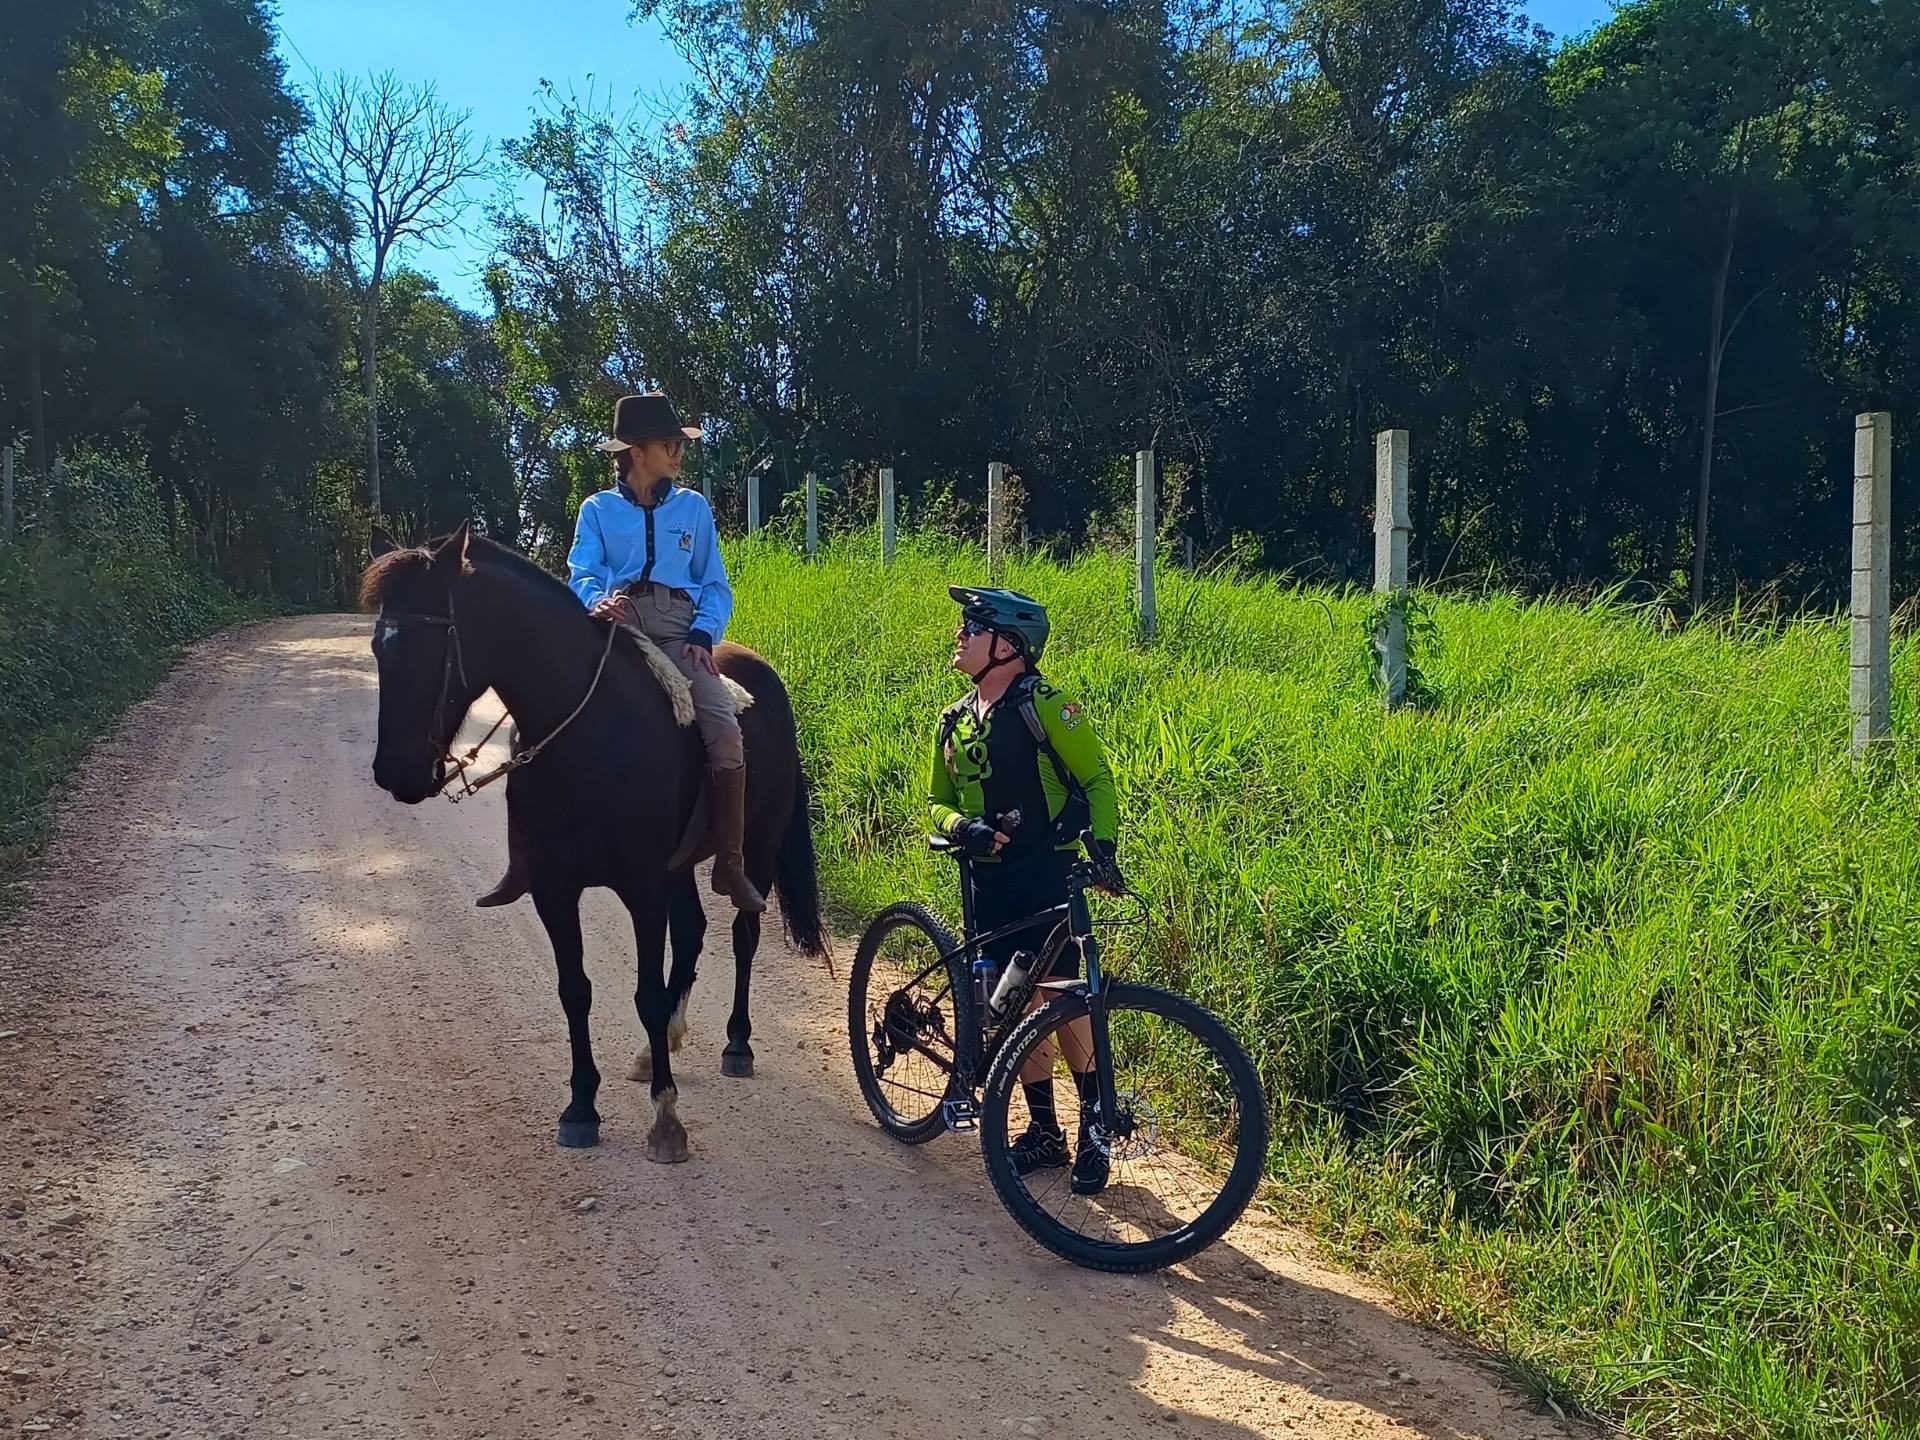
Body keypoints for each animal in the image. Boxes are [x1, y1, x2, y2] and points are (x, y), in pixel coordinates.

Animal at [360, 526, 825, 1167]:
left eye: (433, 646)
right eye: (379, 649)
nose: (395, 774)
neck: (590, 734)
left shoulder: (643, 888)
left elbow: (645, 993)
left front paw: (666, 1119)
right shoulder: (555, 890)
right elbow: (574, 990)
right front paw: (581, 1108)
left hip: (755, 842)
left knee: (742, 932)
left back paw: (737, 1043)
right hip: (679, 867)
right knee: (695, 931)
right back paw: (664, 1044)